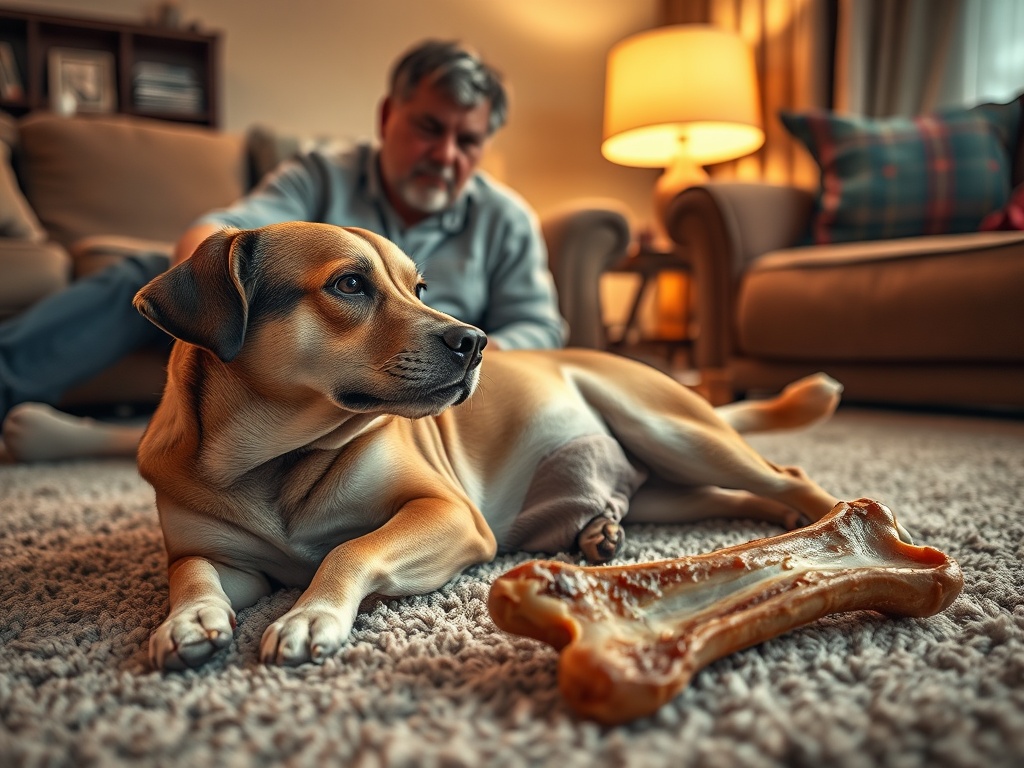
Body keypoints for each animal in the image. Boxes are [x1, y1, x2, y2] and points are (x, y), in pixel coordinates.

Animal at [136, 219, 851, 671]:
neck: (274, 459)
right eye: (349, 285)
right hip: (673, 493)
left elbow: (349, 549)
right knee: (738, 497)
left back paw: (835, 525)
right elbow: (190, 574)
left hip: (671, 430)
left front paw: (310, 615)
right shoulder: (214, 553)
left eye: (418, 288)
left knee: (785, 474)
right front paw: (188, 621)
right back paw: (610, 529)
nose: (474, 340)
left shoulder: (447, 514)